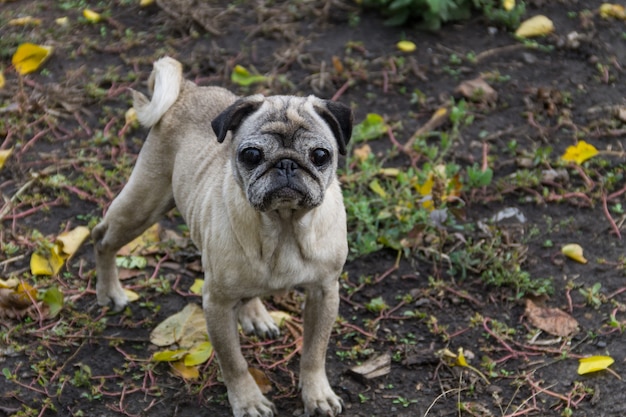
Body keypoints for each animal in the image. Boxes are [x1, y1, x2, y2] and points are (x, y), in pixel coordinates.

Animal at [91, 57, 352, 416]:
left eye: (320, 156)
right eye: (252, 155)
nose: (286, 164)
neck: (283, 227)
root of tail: (187, 89)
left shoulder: (324, 293)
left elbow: (314, 352)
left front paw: (317, 395)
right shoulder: (216, 303)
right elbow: (234, 361)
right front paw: (248, 400)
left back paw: (255, 314)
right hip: (142, 205)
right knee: (103, 239)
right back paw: (110, 292)